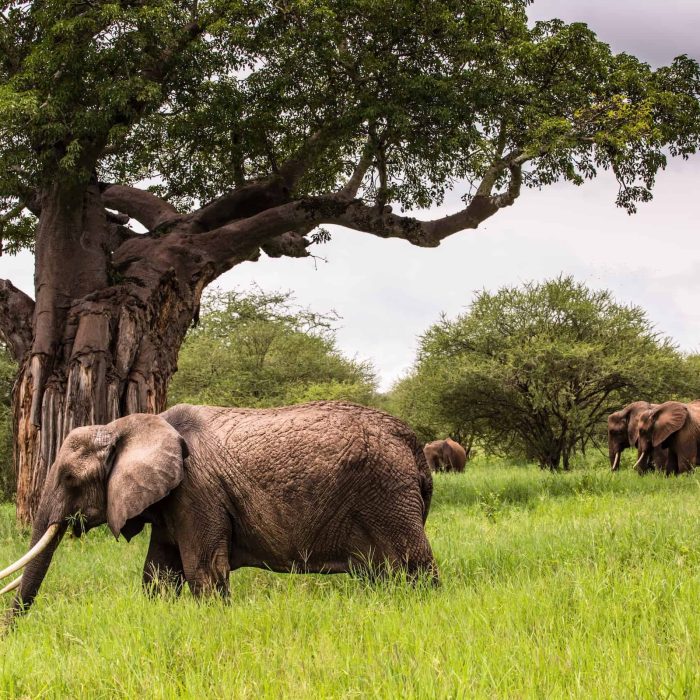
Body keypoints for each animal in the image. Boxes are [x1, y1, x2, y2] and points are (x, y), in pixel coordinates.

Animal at [0, 402, 437, 621]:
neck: (127, 425)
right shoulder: (171, 499)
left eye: (70, 478)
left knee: (414, 565)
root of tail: (413, 443)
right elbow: (158, 575)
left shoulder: (196, 490)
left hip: (387, 492)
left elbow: (204, 571)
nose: (13, 630)